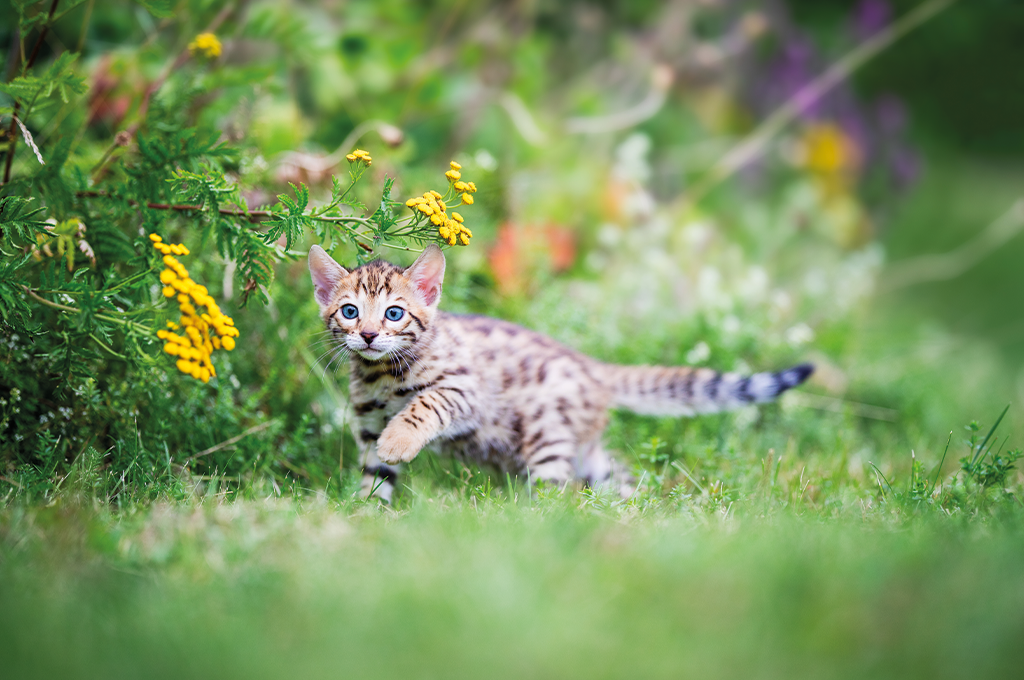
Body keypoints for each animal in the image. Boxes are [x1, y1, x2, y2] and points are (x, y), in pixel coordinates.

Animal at [307, 242, 811, 499]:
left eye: (394, 314)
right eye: (350, 311)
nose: (368, 335)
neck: (382, 377)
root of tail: (593, 367)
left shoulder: (466, 388)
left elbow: (424, 404)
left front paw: (400, 440)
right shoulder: (367, 424)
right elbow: (374, 477)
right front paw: (366, 519)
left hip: (547, 435)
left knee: (556, 496)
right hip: (586, 453)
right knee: (619, 479)